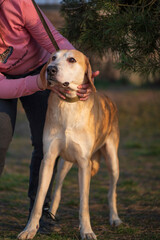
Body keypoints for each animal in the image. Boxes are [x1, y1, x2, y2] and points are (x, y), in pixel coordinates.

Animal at [17, 49, 121, 239]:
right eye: (52, 58)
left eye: (72, 60)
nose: (50, 69)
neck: (68, 104)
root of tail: (108, 99)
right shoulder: (49, 159)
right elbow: (39, 200)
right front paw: (30, 229)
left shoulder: (84, 163)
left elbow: (84, 204)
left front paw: (86, 231)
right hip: (63, 164)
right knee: (57, 191)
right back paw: (51, 215)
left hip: (112, 159)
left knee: (112, 191)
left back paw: (115, 218)